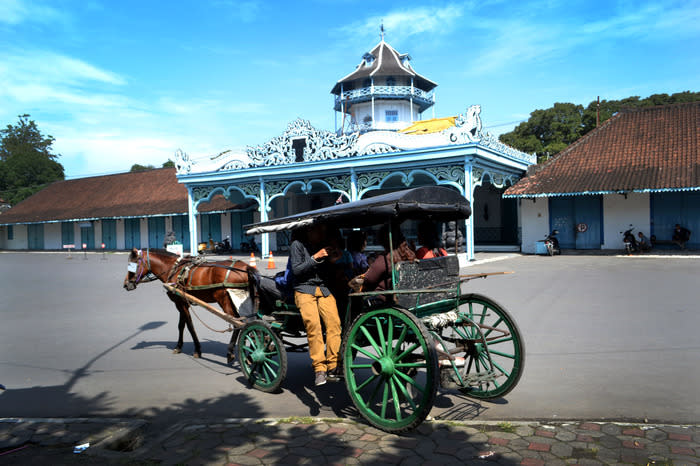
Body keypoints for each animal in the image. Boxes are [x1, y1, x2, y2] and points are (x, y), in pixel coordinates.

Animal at [124, 249, 258, 362]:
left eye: (133, 264)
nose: (126, 284)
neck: (173, 269)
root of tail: (246, 267)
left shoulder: (180, 303)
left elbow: (189, 326)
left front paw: (197, 350)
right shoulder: (182, 302)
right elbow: (181, 325)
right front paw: (179, 346)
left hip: (225, 300)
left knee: (238, 323)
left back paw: (231, 352)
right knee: (251, 321)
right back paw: (252, 350)